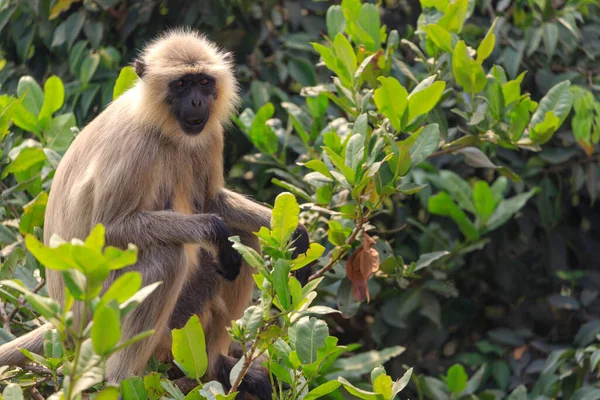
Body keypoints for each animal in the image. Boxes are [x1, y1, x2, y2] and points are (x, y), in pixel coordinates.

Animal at [0, 29, 312, 398]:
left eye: (203, 82)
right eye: (181, 84)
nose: (197, 102)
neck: (159, 123)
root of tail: (65, 317)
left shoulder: (209, 134)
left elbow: (212, 202)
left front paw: (297, 233)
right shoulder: (136, 148)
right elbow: (110, 229)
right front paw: (213, 230)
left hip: (178, 323)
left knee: (243, 239)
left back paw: (215, 366)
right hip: (98, 310)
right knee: (168, 257)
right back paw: (119, 382)